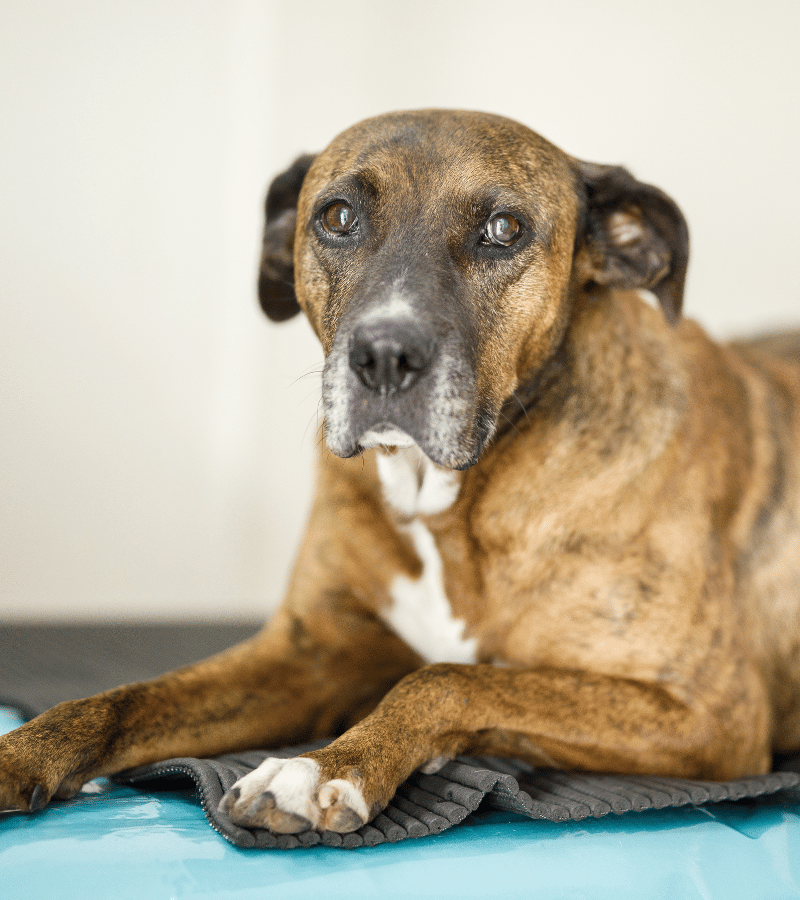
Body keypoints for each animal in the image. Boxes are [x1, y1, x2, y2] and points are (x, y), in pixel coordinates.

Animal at [1, 112, 800, 836]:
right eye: (337, 216)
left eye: (504, 228)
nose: (384, 355)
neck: (445, 504)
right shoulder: (306, 656)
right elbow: (120, 700)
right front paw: (20, 753)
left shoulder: (709, 713)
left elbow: (444, 679)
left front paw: (324, 766)